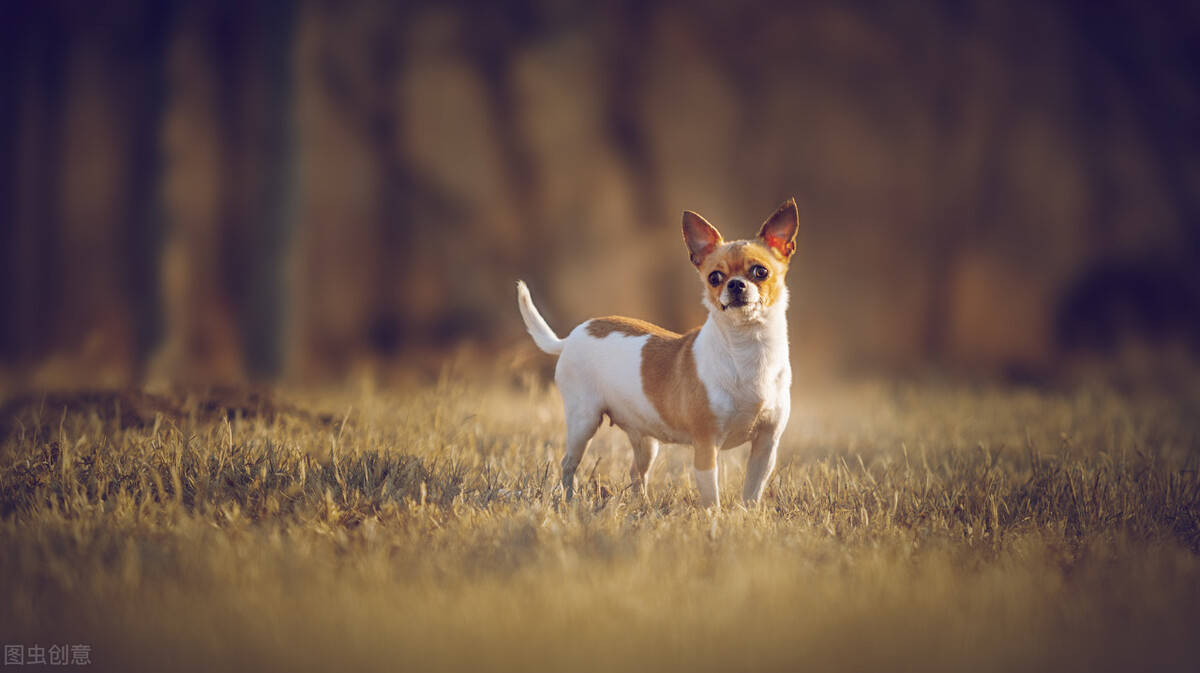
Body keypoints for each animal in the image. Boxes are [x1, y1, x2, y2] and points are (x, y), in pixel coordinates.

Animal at [516, 197, 796, 503]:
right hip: (583, 421)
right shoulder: (706, 446)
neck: (748, 350)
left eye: (761, 271)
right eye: (714, 277)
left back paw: (643, 505)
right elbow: (712, 497)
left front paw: (746, 513)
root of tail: (569, 337)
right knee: (568, 463)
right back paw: (569, 499)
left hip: (645, 441)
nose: (735, 284)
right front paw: (716, 515)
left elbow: (752, 491)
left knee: (636, 473)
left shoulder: (766, 446)